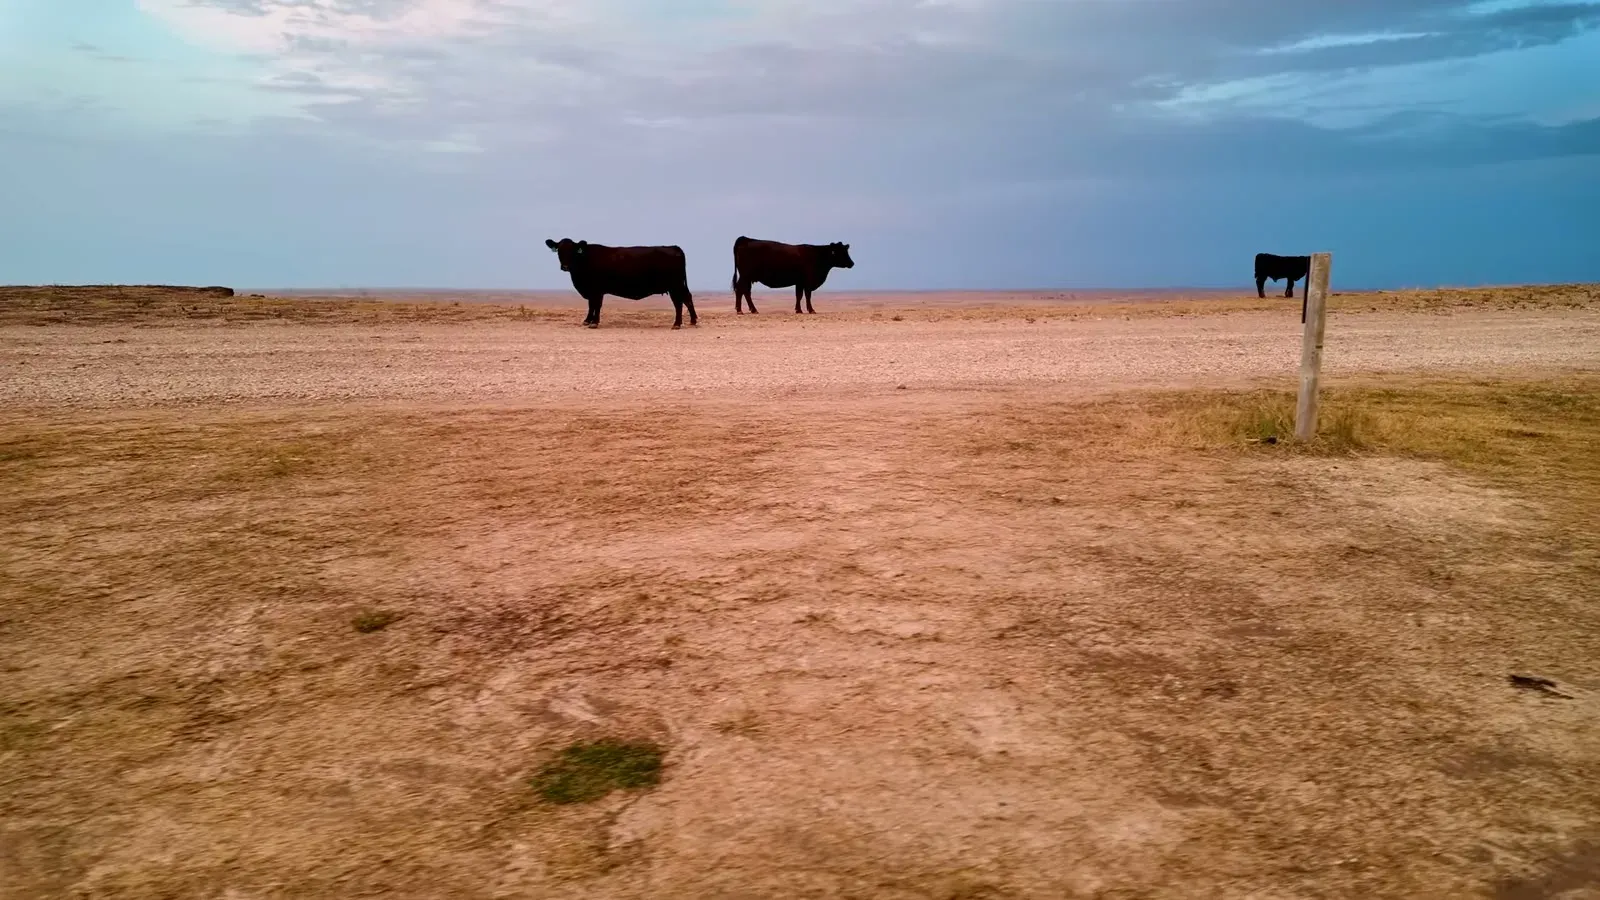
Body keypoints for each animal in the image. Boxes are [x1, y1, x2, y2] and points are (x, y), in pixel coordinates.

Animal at [544, 238, 697, 329]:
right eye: (559, 251)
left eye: (573, 251)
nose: (565, 266)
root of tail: (674, 247)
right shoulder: (593, 290)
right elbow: (591, 305)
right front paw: (587, 321)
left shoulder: (596, 290)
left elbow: (595, 305)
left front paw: (594, 322)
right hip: (678, 285)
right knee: (687, 299)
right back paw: (693, 321)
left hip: (675, 285)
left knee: (679, 302)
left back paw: (677, 324)